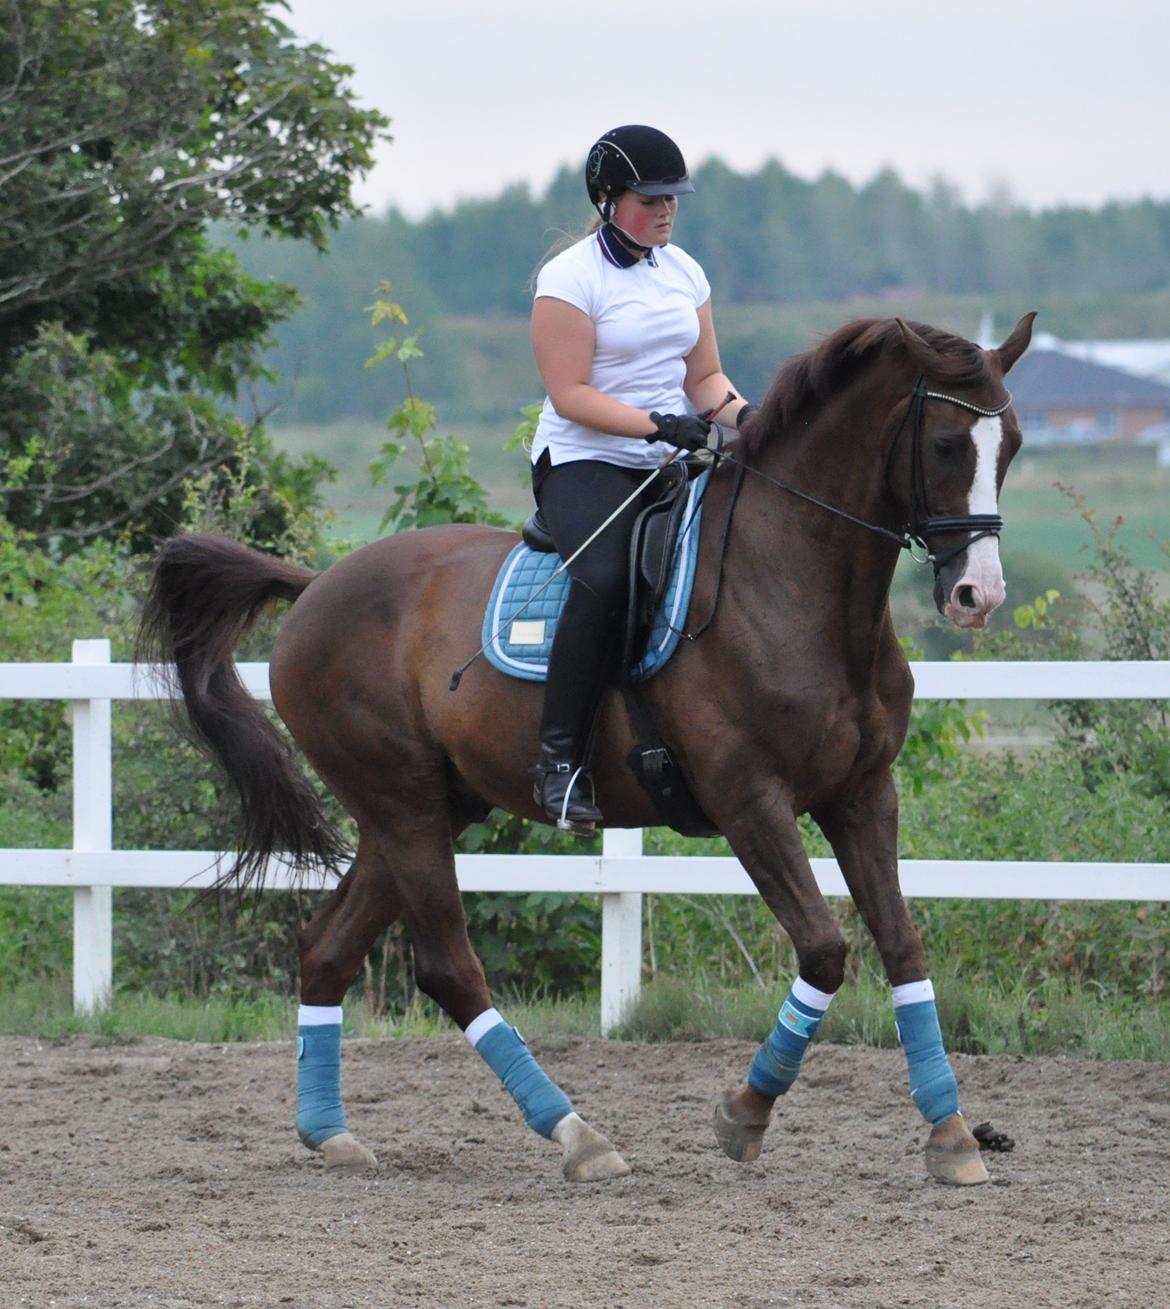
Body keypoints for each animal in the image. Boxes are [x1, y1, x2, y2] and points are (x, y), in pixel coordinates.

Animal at [137, 314, 1036, 1188]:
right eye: (946, 444)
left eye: (1014, 445)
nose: (978, 594)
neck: (792, 584)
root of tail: (314, 586)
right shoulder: (750, 799)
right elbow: (823, 948)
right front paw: (743, 1115)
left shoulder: (862, 794)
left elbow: (901, 944)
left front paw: (952, 1135)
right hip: (404, 807)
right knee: (449, 966)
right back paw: (577, 1135)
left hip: (424, 809)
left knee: (327, 948)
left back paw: (332, 1135)